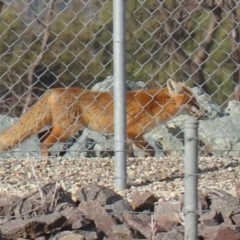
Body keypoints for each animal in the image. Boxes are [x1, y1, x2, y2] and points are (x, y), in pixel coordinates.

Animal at [0, 79, 205, 158]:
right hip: (68, 130)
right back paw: (47, 160)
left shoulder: (127, 136)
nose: (204, 112)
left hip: (61, 128)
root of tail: (54, 90)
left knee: (40, 137)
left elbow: (130, 154)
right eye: (192, 101)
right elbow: (150, 151)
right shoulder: (133, 132)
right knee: (43, 143)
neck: (155, 105)